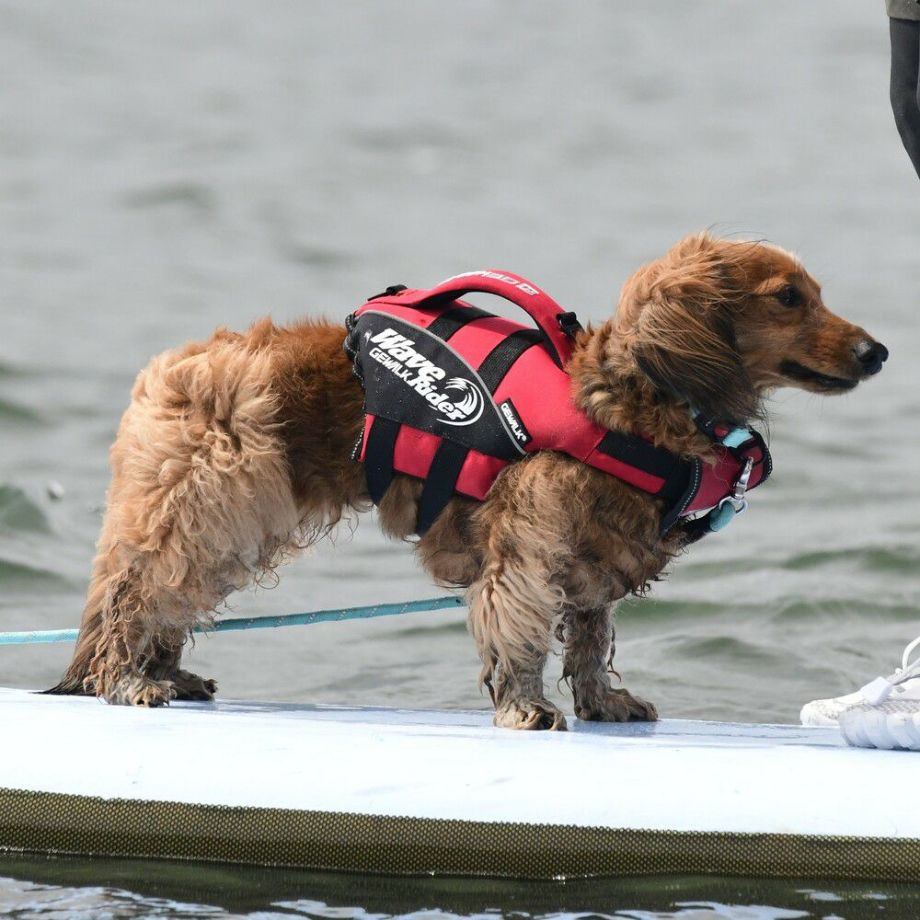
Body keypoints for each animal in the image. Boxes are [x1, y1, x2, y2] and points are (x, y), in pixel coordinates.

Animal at [46, 234, 888, 728]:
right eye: (788, 297)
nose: (878, 352)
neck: (627, 402)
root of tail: (180, 365)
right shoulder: (528, 539)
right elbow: (518, 621)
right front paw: (526, 705)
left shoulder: (591, 549)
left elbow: (591, 632)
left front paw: (603, 700)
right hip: (215, 500)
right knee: (140, 593)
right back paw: (129, 680)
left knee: (160, 596)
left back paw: (161, 673)